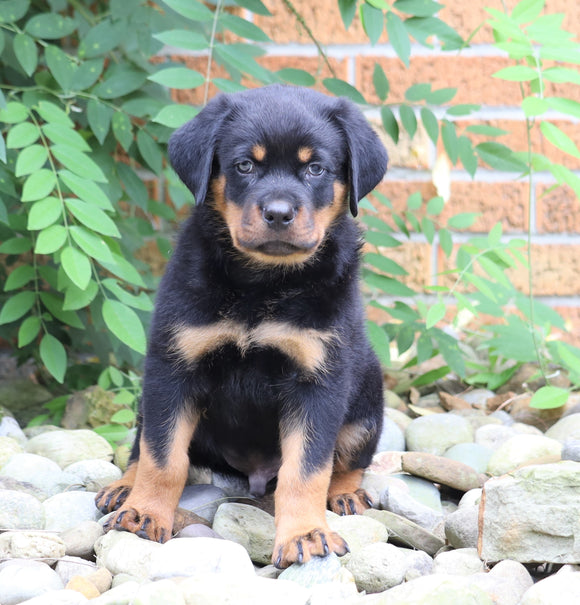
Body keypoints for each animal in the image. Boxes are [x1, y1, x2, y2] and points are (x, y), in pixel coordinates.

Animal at [96, 84, 390, 568]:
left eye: (315, 168)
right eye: (245, 165)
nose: (279, 213)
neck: (262, 283)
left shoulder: (318, 380)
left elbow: (307, 469)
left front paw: (306, 534)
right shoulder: (173, 367)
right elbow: (163, 455)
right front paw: (144, 512)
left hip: (366, 400)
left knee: (348, 461)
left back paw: (346, 495)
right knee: (143, 442)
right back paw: (124, 488)